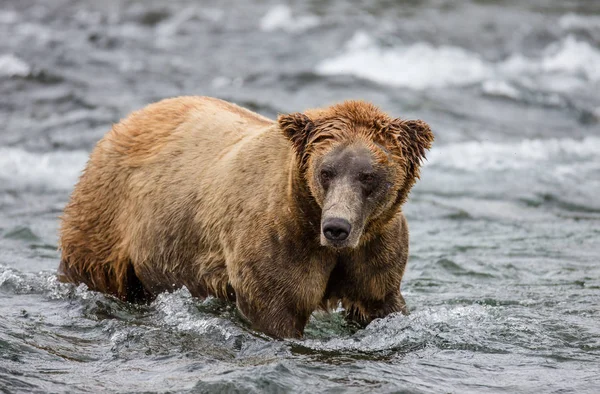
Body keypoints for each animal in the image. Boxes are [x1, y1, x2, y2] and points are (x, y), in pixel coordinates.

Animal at [58, 96, 434, 338]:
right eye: (326, 171)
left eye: (367, 175)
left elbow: (379, 301)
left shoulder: (374, 251)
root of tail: (126, 121)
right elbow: (276, 308)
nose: (336, 227)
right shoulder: (280, 242)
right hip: (108, 216)